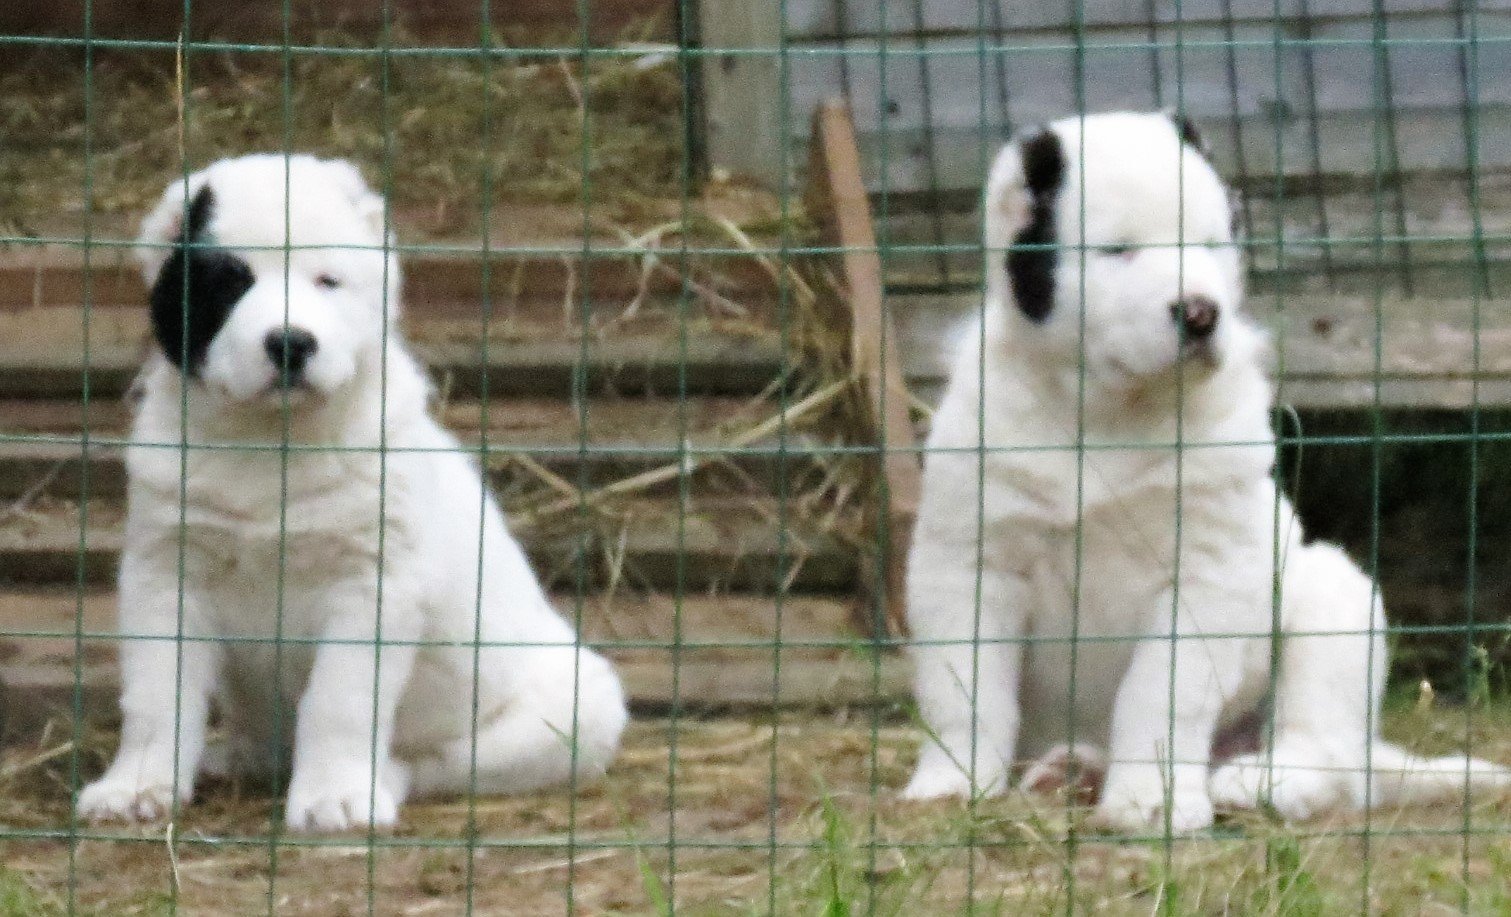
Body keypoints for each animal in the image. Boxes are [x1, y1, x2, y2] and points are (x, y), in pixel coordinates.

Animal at [81, 152, 625, 833]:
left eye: (327, 282)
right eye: (228, 283)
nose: (290, 342)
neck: (270, 445)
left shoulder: (373, 584)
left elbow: (340, 699)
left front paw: (333, 798)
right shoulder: (165, 571)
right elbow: (157, 693)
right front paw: (135, 787)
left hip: (575, 707)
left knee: (439, 763)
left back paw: (378, 781)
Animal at [900, 109, 1504, 833]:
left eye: (1211, 244)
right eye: (1117, 251)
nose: (1200, 311)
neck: (1110, 413)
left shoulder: (1203, 575)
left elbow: (1161, 691)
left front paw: (1151, 802)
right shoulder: (970, 560)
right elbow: (961, 686)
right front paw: (952, 782)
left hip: (1331, 595)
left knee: (1325, 752)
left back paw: (1259, 779)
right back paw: (1076, 769)